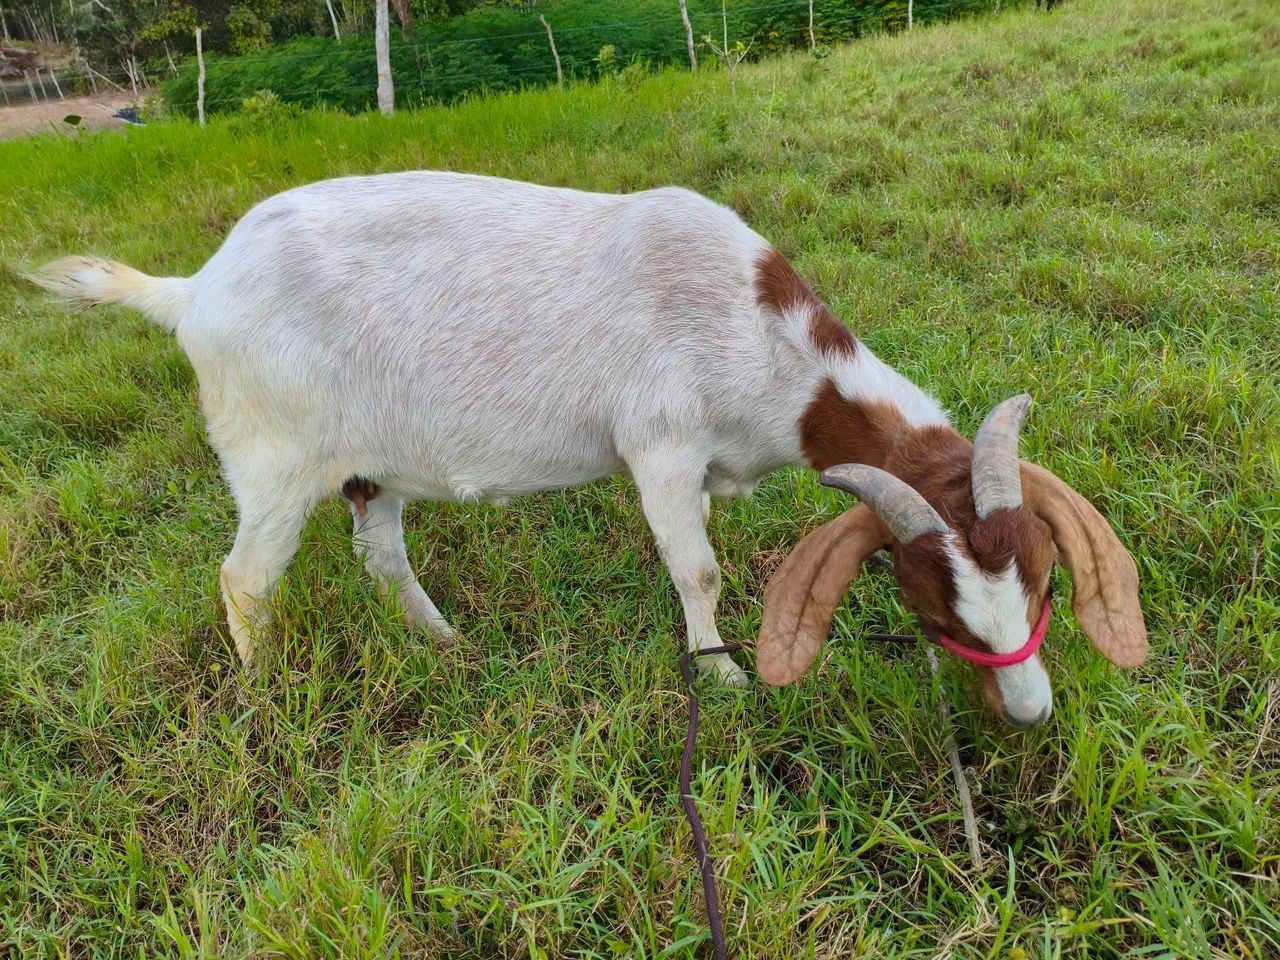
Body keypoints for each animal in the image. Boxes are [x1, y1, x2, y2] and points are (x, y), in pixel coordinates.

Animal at [30, 172, 1147, 725]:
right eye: (935, 606)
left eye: (1044, 583)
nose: (1030, 713)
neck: (760, 335)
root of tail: (193, 292)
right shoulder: (661, 448)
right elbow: (695, 569)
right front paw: (720, 678)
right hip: (274, 454)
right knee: (246, 578)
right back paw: (267, 695)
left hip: (365, 464)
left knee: (378, 552)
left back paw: (443, 643)